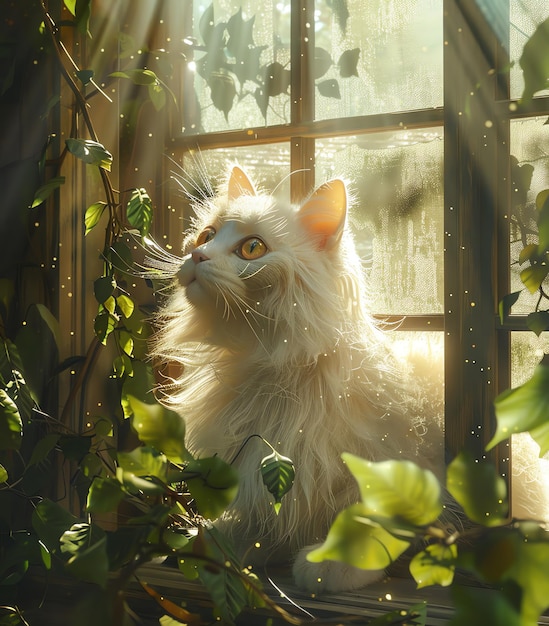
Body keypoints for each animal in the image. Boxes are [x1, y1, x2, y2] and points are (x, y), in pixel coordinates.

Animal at [150, 165, 440, 588]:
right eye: (206, 235)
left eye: (252, 248)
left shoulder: (392, 461)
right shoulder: (261, 468)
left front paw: (332, 561)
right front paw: (211, 545)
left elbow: (366, 517)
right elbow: (252, 524)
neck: (263, 371)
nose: (197, 255)